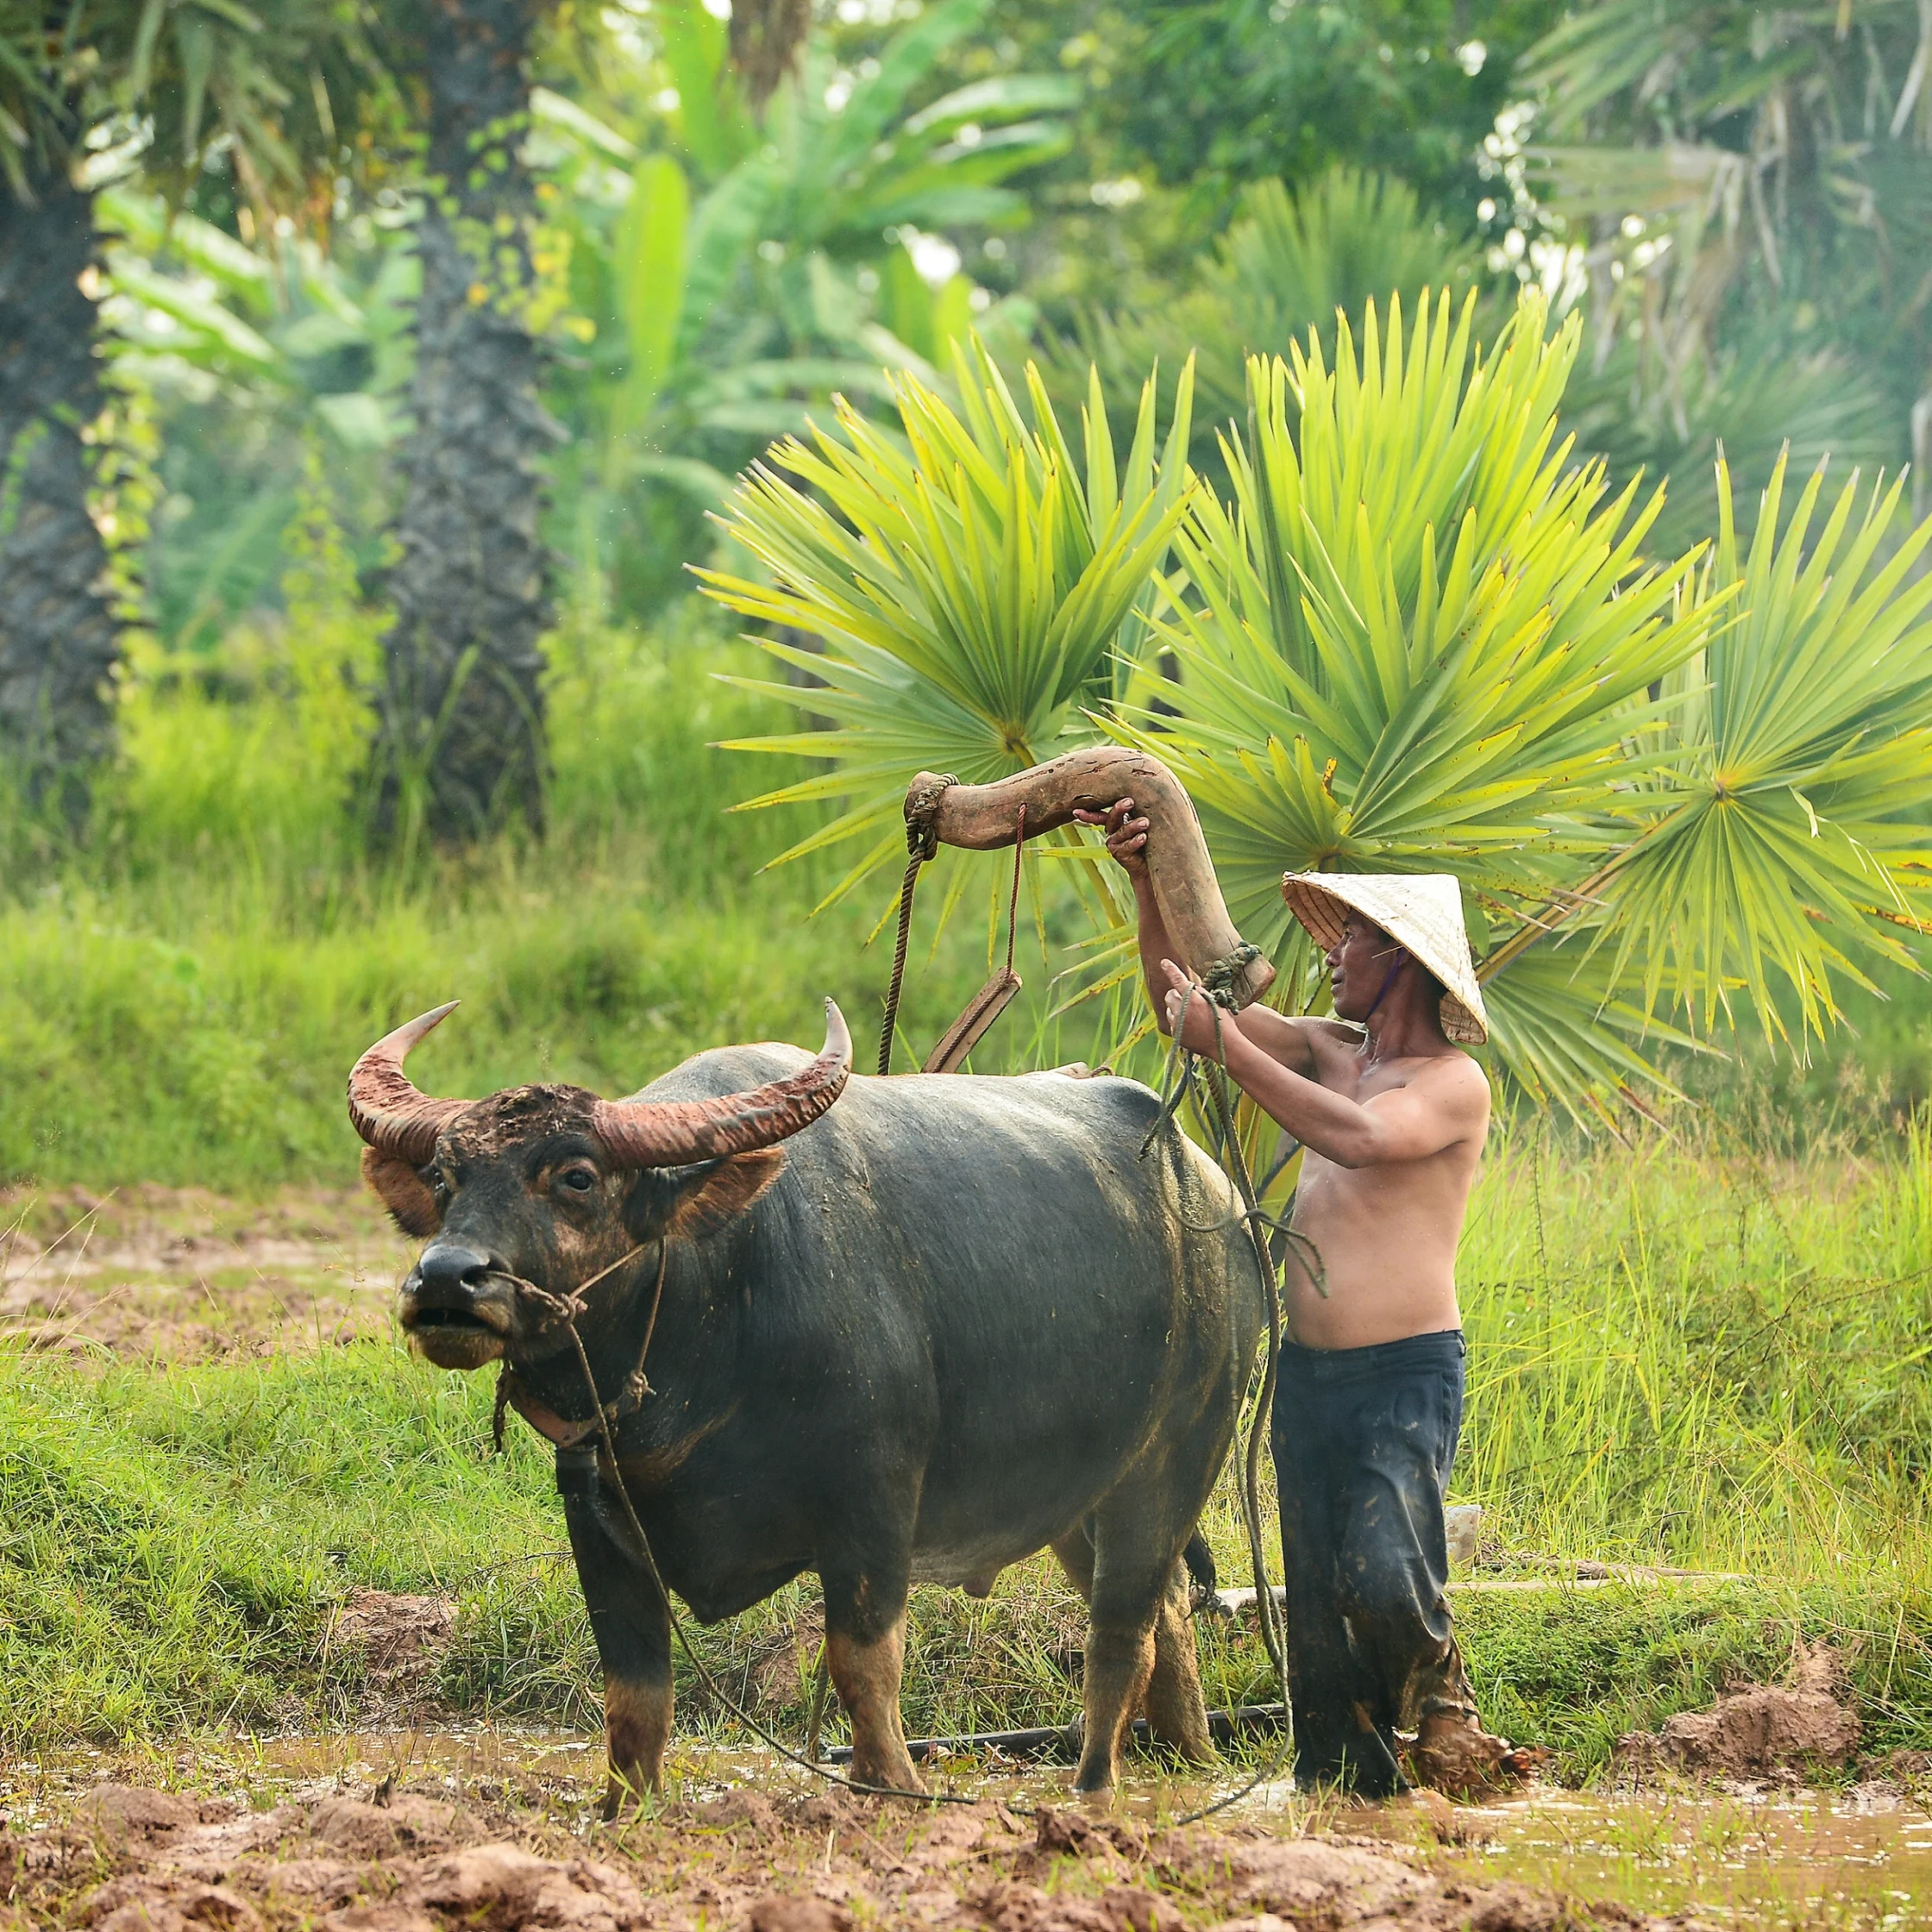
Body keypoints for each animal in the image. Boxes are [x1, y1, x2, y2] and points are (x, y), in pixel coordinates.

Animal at [349, 1000, 1262, 1809]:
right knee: (1169, 1615)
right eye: (446, 1177)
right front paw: (623, 1811)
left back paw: (1094, 1789)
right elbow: (634, 1694)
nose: (445, 1280)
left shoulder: (873, 1504)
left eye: (576, 1176)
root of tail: (1216, 1195)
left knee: (1122, 1632)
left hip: (1180, 1454)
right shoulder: (597, 1518)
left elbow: (863, 1663)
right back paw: (1190, 1757)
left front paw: (890, 1787)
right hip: (1077, 1496)